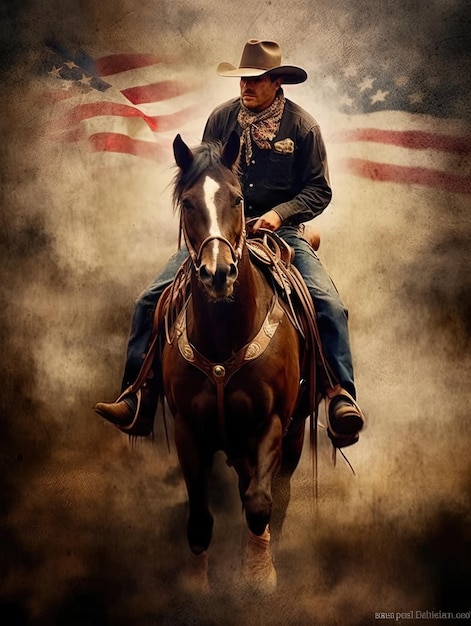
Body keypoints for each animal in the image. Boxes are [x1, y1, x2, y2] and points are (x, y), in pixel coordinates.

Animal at [160, 130, 318, 588]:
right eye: (188, 203)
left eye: (237, 199)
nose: (218, 273)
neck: (223, 340)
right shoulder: (188, 428)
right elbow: (199, 516)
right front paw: (196, 585)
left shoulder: (272, 424)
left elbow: (261, 502)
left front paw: (259, 577)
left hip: (294, 434)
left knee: (275, 493)